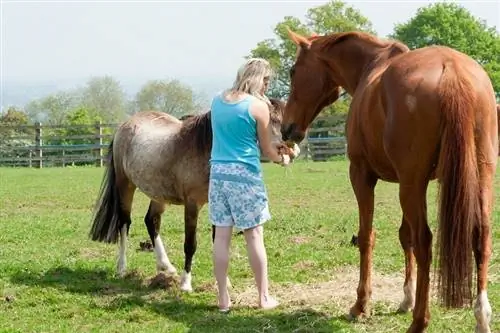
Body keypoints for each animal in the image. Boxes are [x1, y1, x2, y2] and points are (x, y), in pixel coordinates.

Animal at [88, 96, 288, 290]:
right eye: (271, 120)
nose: (288, 151)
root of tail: (124, 125)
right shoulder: (192, 205)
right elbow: (190, 244)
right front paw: (186, 283)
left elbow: (218, 243)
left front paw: (223, 282)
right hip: (125, 186)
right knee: (124, 223)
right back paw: (122, 268)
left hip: (158, 194)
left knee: (151, 221)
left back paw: (166, 266)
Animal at [282, 29, 496, 332]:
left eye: (293, 71)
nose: (287, 128)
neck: (370, 67)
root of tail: (451, 70)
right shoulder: (413, 183)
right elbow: (404, 237)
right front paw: (406, 299)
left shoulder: (362, 175)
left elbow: (367, 237)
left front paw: (361, 305)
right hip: (476, 177)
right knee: (481, 237)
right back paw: (481, 318)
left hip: (410, 185)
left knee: (424, 242)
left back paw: (419, 321)